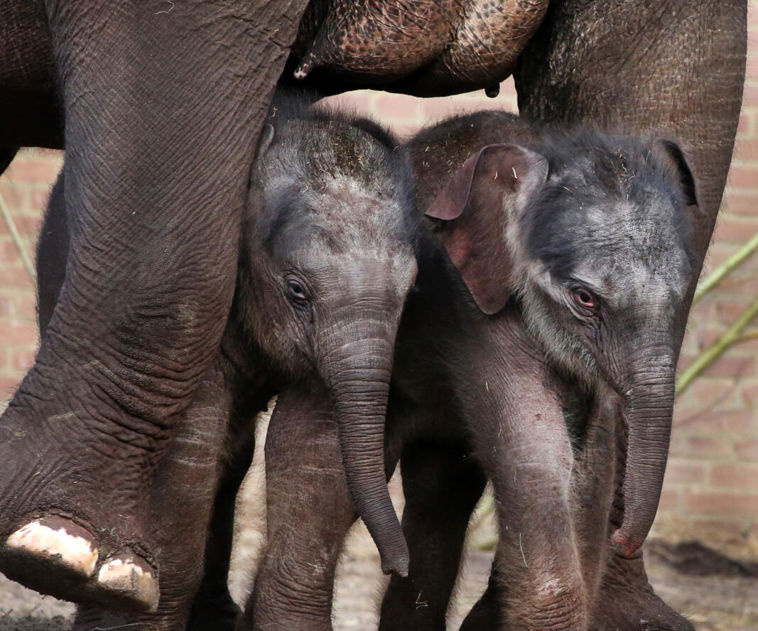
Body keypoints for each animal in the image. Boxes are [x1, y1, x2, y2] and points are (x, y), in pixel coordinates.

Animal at [28, 96, 419, 627]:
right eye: (296, 290)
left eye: (411, 292)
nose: (398, 567)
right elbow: (189, 439)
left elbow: (313, 445)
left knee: (234, 458)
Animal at [239, 110, 701, 631]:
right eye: (585, 298)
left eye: (684, 288)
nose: (624, 540)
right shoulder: (478, 317)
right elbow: (535, 455)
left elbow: (591, 466)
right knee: (317, 471)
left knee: (438, 497)